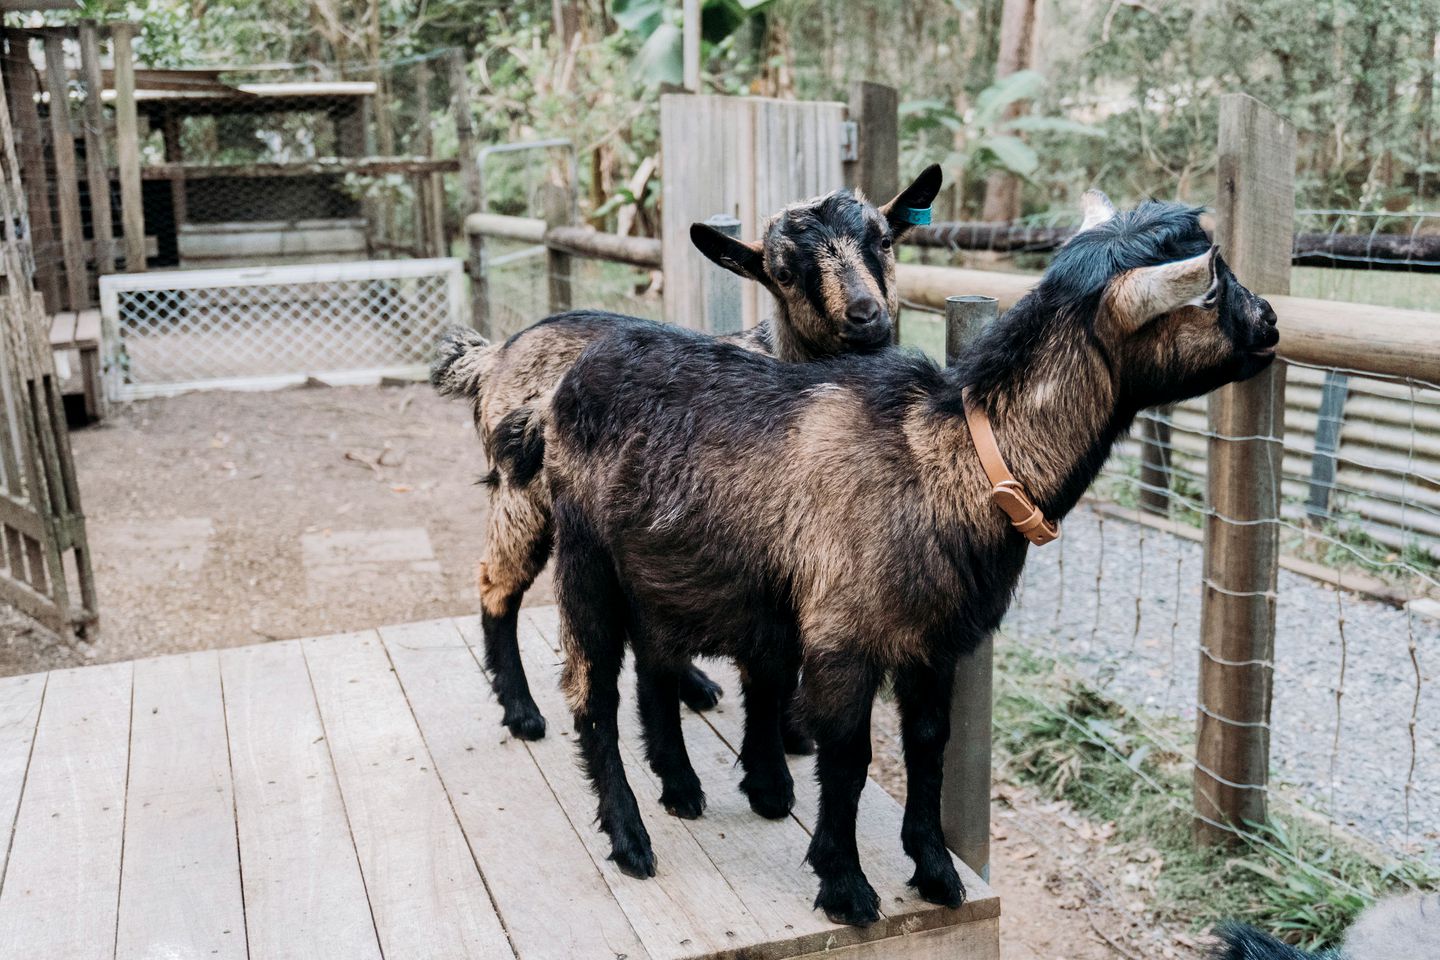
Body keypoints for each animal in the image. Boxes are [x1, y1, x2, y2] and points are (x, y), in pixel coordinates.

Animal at [426, 165, 944, 742]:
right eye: (783, 274)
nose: (864, 314)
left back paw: (692, 686)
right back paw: (520, 710)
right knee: (496, 583)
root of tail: (496, 354)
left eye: (884, 241)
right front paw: (788, 735)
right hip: (522, 489)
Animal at [541, 192, 1284, 921]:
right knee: (592, 694)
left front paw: (935, 870)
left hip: (660, 574)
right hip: (584, 559)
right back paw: (630, 839)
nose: (1271, 320)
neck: (956, 457)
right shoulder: (843, 638)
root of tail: (579, 370)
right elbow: (849, 758)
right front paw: (845, 884)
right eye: (1211, 290)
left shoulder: (937, 641)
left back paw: (680, 786)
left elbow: (929, 745)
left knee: (656, 664)